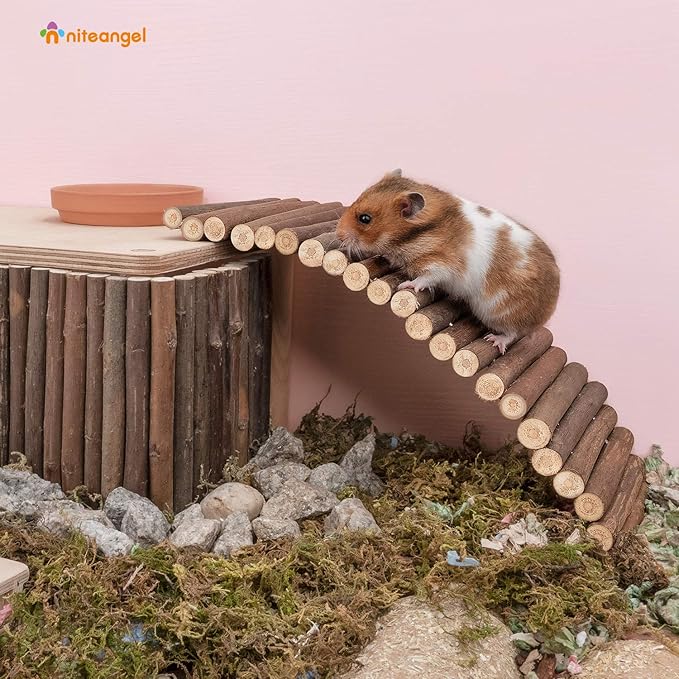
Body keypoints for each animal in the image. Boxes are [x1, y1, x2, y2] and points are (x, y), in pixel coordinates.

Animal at [336, 169, 560, 354]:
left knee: (514, 332)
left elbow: (426, 278)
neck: (415, 236)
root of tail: (547, 312)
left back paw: (495, 340)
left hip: (499, 312)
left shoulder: (442, 265)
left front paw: (406, 285)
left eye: (365, 219)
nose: (338, 234)